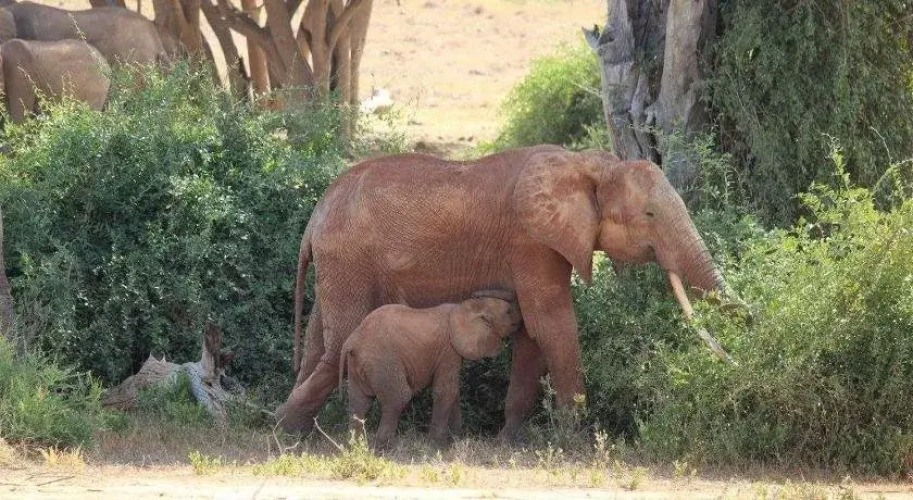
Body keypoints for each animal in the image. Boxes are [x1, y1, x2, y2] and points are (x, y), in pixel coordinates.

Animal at [340, 290, 521, 448]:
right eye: (508, 311)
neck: (469, 306)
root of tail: (351, 342)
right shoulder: (449, 349)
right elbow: (445, 390)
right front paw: (436, 445)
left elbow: (454, 392)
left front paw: (454, 440)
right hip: (382, 361)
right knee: (398, 397)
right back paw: (385, 448)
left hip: (357, 365)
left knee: (359, 402)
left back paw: (354, 447)